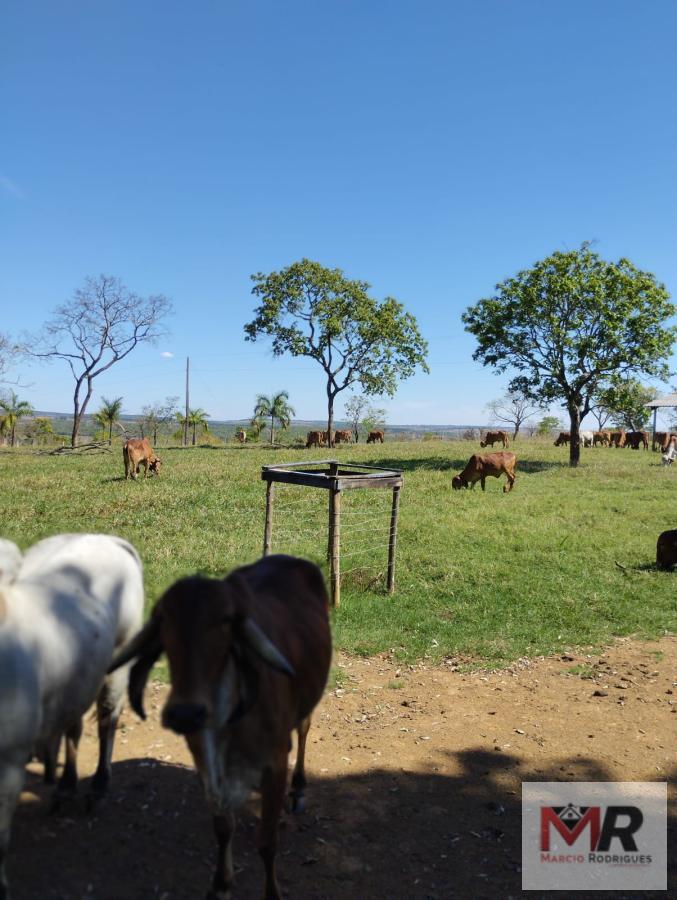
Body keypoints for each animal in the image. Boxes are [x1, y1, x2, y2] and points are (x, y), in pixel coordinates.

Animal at [0, 536, 144, 900]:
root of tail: (106, 538)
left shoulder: (10, 762)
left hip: (118, 662)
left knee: (108, 720)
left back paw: (98, 786)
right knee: (73, 727)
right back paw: (65, 785)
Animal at [109, 556, 332, 900]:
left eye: (225, 621)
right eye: (163, 620)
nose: (185, 713)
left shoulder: (273, 763)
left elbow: (267, 842)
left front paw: (271, 892)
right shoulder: (206, 763)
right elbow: (223, 827)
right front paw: (221, 883)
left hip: (305, 705)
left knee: (303, 730)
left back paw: (297, 789)